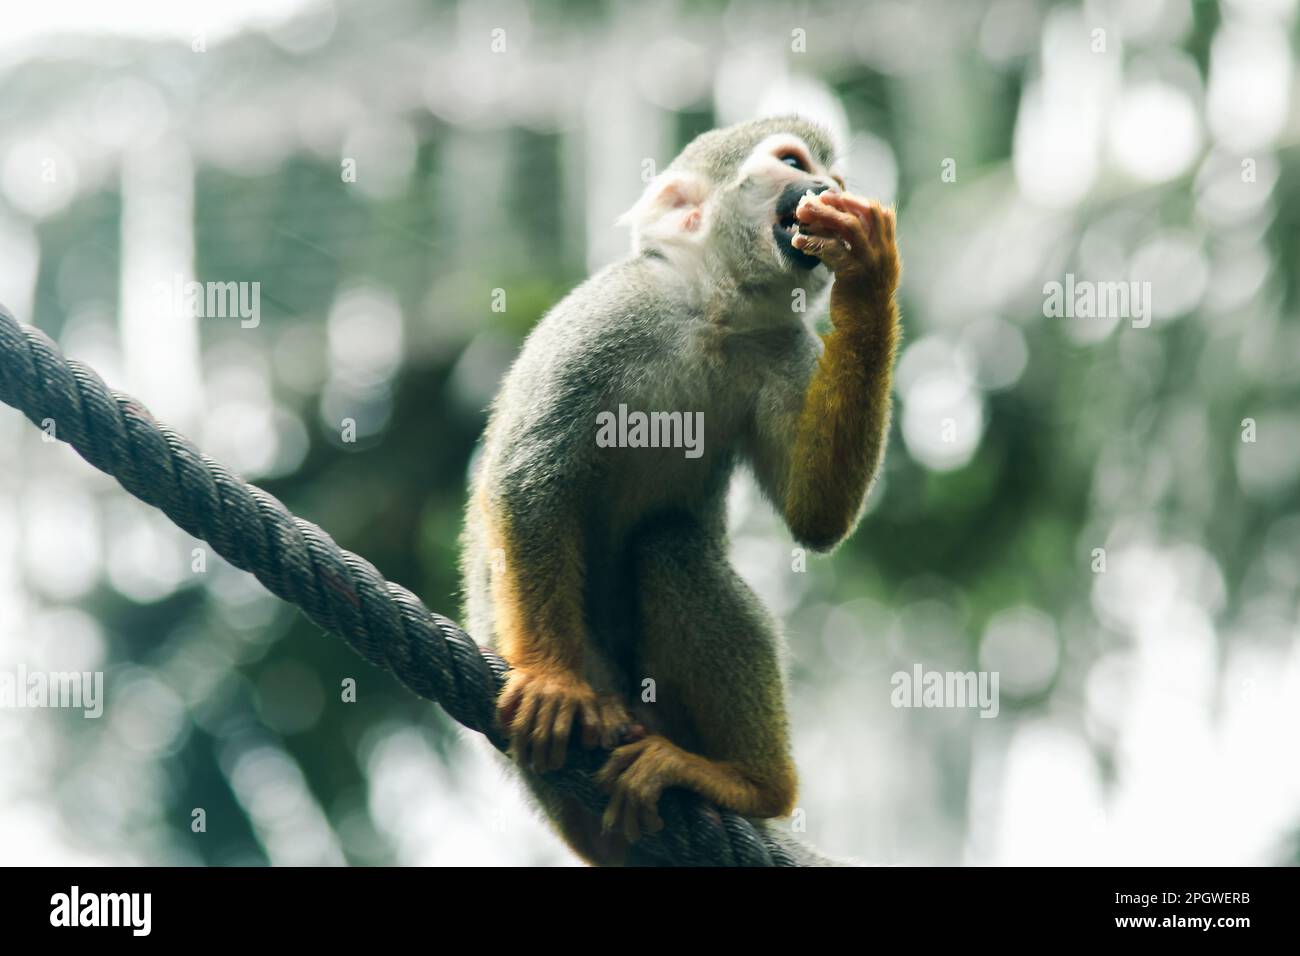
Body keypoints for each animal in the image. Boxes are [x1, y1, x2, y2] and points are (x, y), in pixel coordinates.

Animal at [460, 115, 900, 865]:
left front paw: (868, 274)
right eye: (795, 163)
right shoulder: (614, 312)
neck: (712, 313)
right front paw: (550, 679)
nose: (828, 187)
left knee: (670, 544)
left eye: (835, 178)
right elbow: (531, 472)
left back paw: (751, 785)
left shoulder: (785, 344)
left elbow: (816, 515)